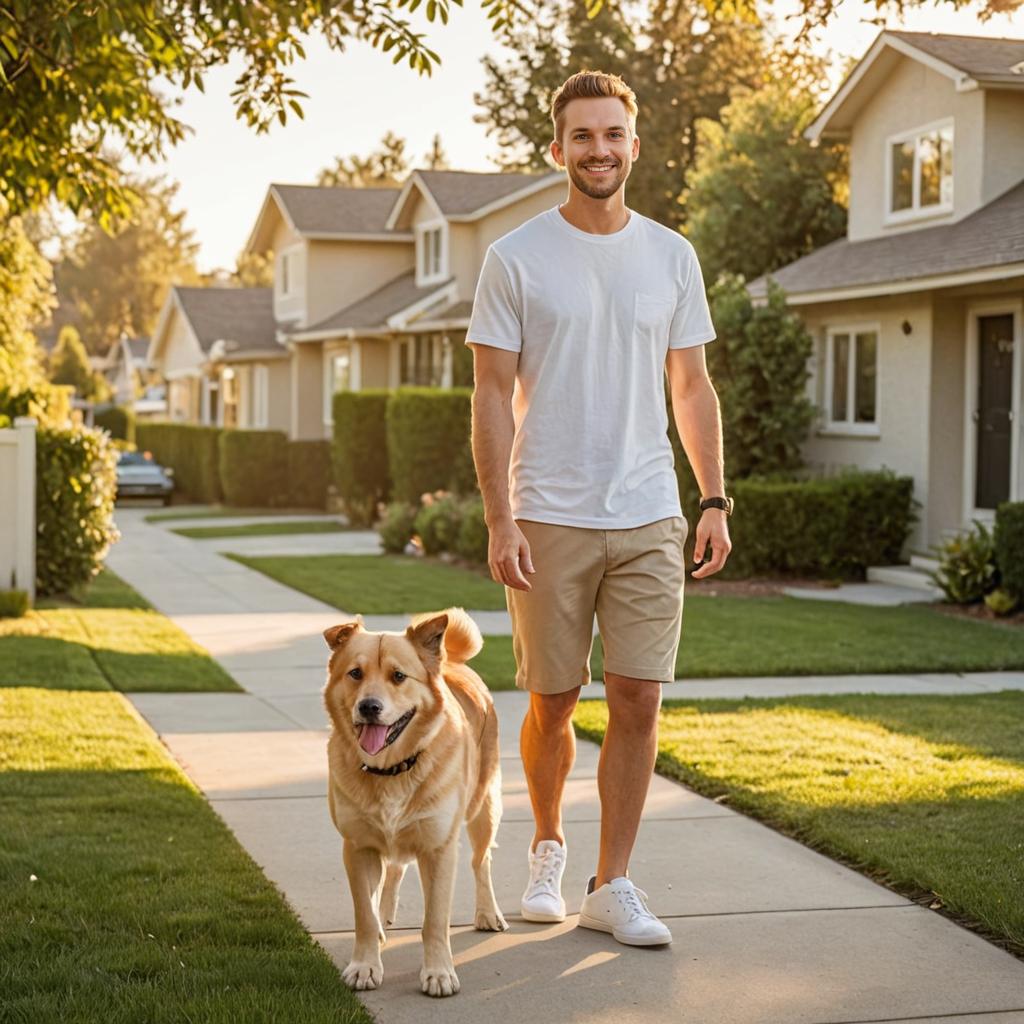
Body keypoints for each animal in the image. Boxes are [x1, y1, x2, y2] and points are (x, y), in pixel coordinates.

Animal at [323, 602, 507, 995]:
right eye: (355, 673)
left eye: (398, 676)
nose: (369, 707)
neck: (390, 770)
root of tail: (452, 663)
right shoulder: (358, 846)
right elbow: (363, 912)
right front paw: (365, 964)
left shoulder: (438, 848)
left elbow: (434, 920)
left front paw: (438, 972)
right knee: (393, 870)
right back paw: (384, 917)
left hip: (483, 808)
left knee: (482, 861)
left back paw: (487, 912)